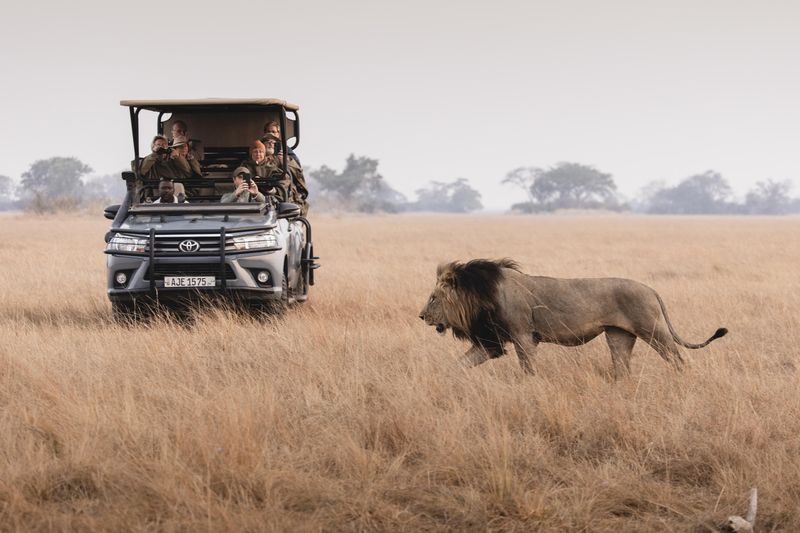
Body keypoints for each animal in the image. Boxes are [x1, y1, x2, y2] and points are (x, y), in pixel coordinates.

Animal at [418, 259, 727, 377]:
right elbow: (459, 364)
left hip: (652, 330)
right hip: (618, 336)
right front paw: (445, 380)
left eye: (433, 297)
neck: (481, 296)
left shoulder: (523, 336)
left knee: (677, 358)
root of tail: (651, 288)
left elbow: (528, 369)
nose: (421, 316)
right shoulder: (490, 342)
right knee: (622, 368)